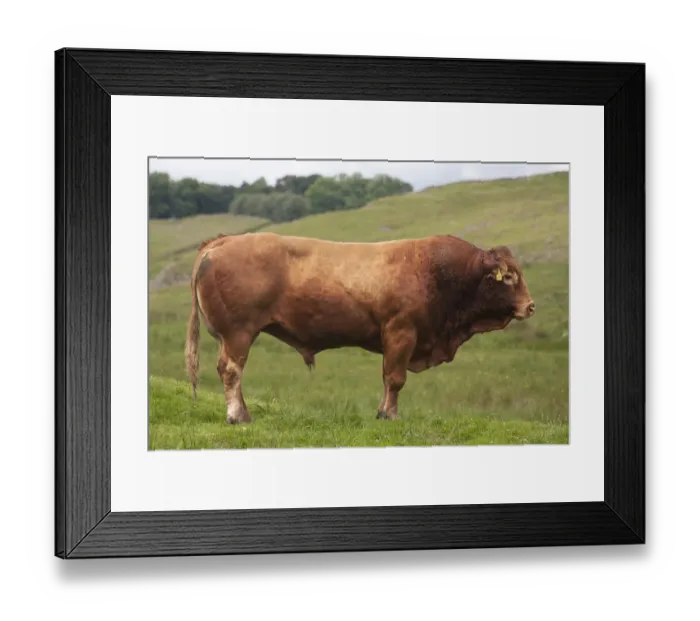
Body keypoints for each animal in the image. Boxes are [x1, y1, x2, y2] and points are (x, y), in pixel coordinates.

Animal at [184, 232, 536, 424]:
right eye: (510, 278)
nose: (530, 305)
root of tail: (222, 241)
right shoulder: (401, 333)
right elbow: (395, 379)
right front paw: (389, 414)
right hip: (238, 333)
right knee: (231, 371)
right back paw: (239, 416)